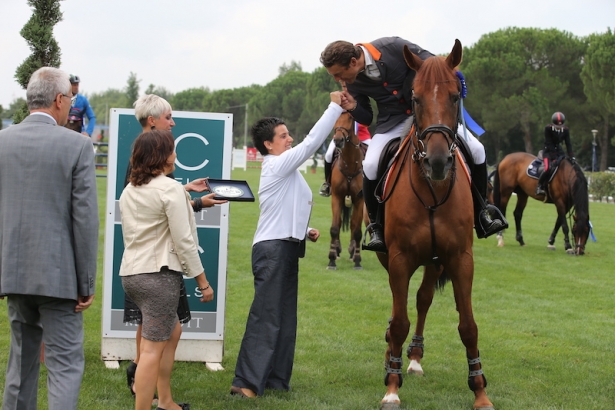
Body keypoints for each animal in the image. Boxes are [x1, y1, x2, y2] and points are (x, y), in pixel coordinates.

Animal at [378, 39, 494, 410]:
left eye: (456, 96)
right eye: (415, 98)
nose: (439, 161)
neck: (432, 190)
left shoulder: (460, 258)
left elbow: (468, 325)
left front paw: (480, 391)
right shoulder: (399, 258)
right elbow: (400, 320)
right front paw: (391, 388)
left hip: (435, 260)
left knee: (423, 298)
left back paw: (414, 358)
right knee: (400, 308)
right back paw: (393, 357)